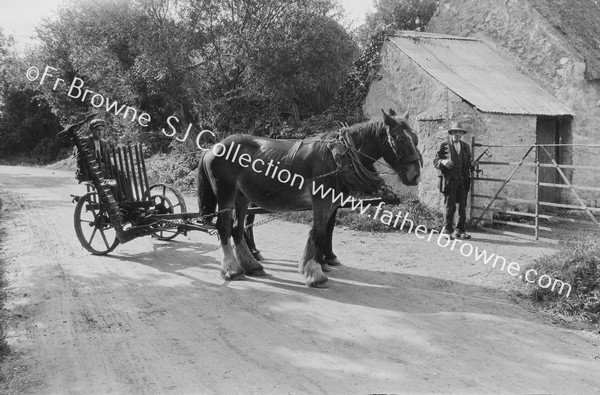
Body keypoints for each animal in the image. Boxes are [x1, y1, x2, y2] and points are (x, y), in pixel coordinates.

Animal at [198, 110, 422, 290]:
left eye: (416, 138)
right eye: (399, 139)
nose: (415, 176)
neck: (340, 157)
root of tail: (213, 147)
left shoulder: (331, 203)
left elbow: (320, 232)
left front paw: (314, 264)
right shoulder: (322, 201)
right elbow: (320, 234)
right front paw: (316, 274)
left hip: (242, 198)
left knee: (238, 229)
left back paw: (252, 266)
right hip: (225, 194)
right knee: (224, 227)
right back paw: (232, 269)